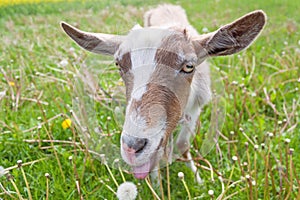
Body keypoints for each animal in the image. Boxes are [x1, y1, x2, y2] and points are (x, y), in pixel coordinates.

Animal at [61, 3, 268, 184]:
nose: (132, 147)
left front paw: (198, 180)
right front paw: (157, 185)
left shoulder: (195, 108)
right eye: (118, 64)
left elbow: (182, 144)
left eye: (189, 66)